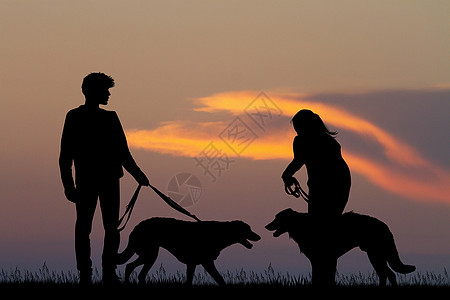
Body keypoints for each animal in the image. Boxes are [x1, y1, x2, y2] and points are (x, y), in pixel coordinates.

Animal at [118, 217, 262, 284]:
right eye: (248, 229)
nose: (259, 237)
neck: (219, 233)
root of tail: (136, 227)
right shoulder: (207, 262)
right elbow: (219, 278)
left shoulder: (192, 264)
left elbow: (189, 281)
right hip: (150, 254)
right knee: (134, 269)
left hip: (148, 254)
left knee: (133, 269)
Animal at [264, 209, 414, 286]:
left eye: (277, 218)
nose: (266, 226)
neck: (302, 225)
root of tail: (385, 226)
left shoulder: (320, 258)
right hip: (376, 255)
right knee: (387, 274)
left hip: (375, 254)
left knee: (388, 274)